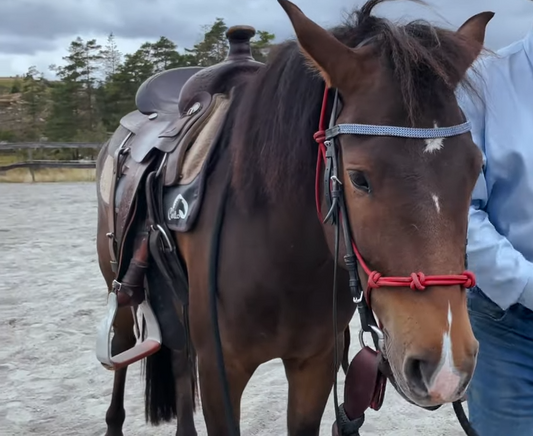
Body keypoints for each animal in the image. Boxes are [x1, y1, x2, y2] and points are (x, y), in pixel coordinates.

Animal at [94, 0, 490, 434]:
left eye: (476, 168)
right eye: (358, 178)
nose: (446, 368)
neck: (282, 253)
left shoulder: (314, 363)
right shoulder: (220, 371)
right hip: (121, 292)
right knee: (122, 351)